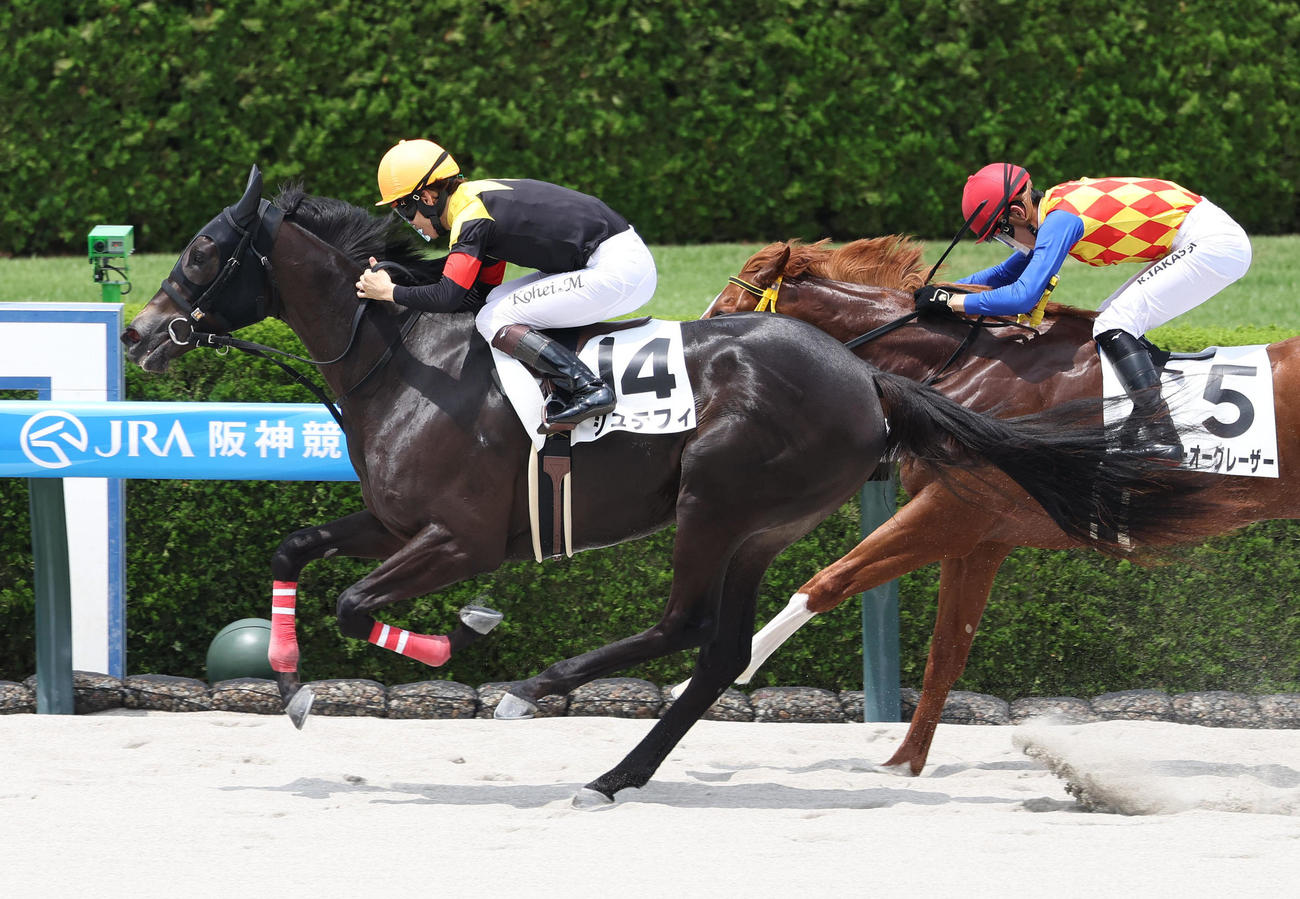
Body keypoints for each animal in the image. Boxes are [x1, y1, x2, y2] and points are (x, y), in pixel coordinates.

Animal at [121, 170, 1195, 805]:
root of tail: (868, 377)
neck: (403, 355)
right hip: (760, 524)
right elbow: (295, 549)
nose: (135, 333)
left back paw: (537, 690)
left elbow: (355, 600)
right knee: (718, 650)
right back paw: (614, 771)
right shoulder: (393, 518)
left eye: (206, 253)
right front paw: (292, 677)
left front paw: (457, 635)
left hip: (714, 498)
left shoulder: (459, 536)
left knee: (684, 624)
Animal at [703, 236, 1300, 775]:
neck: (968, 371)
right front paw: (904, 762)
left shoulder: (951, 512)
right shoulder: (982, 538)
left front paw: (719, 672)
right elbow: (947, 651)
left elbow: (828, 582)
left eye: (727, 310)